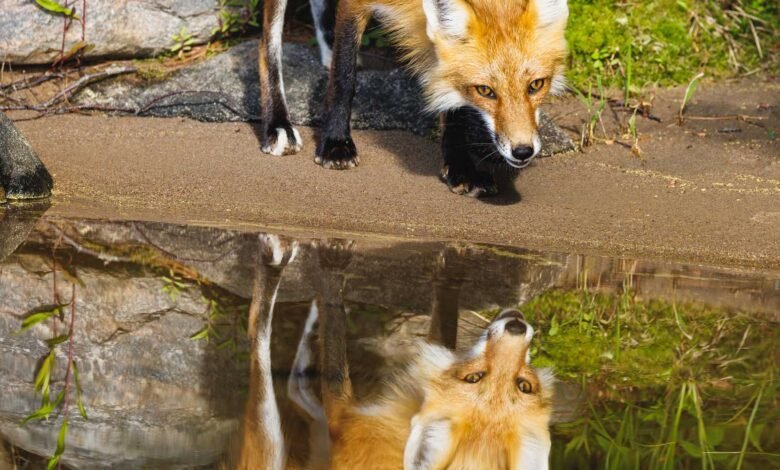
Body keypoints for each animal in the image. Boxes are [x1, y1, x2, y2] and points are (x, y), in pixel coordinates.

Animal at [258, 0, 569, 196]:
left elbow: (452, 99)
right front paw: (335, 144)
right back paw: (279, 125)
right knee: (267, 43)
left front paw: (461, 168)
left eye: (536, 85)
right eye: (485, 91)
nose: (523, 151)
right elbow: (344, 77)